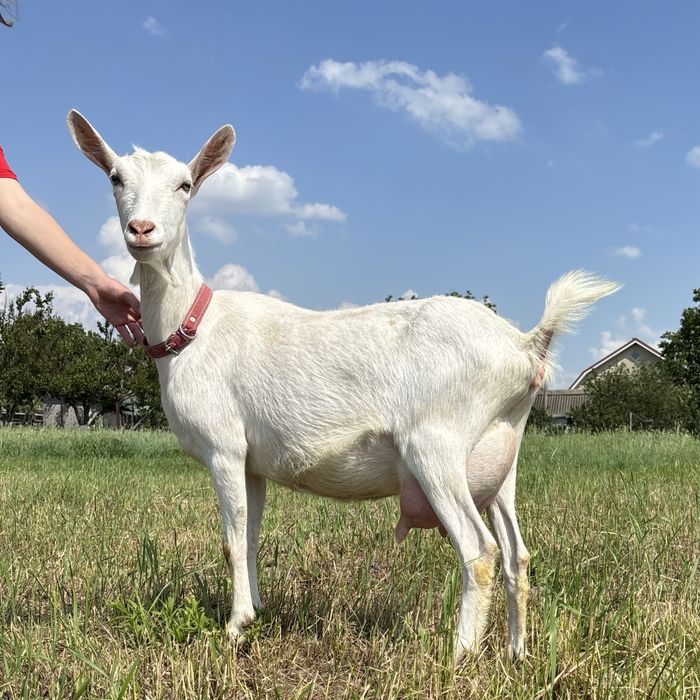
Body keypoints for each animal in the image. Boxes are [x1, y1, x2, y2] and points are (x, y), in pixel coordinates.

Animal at [67, 109, 619, 660]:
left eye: (185, 185)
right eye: (115, 178)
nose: (142, 229)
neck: (192, 329)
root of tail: (525, 346)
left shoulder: (223, 447)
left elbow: (230, 538)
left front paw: (234, 626)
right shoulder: (252, 461)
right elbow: (250, 536)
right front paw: (257, 612)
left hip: (435, 442)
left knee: (479, 551)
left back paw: (457, 657)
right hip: (500, 453)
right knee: (516, 556)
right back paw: (515, 653)